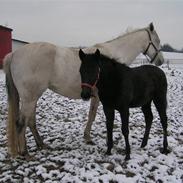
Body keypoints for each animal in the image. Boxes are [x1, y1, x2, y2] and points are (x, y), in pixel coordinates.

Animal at [3, 22, 164, 157]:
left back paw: (41, 144)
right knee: (21, 123)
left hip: (32, 97)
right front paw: (88, 138)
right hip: (30, 97)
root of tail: (14, 54)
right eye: (157, 41)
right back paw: (24, 153)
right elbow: (92, 116)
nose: (161, 61)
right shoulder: (98, 97)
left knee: (30, 121)